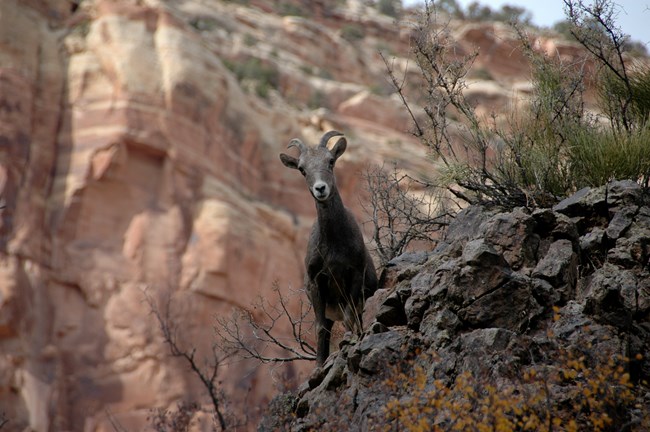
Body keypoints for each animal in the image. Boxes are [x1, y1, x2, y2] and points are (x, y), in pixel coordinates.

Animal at [278, 131, 374, 364]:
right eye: (302, 169)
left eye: (331, 161)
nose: (320, 188)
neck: (333, 245)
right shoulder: (317, 282)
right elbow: (321, 329)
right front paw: (319, 366)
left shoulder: (354, 275)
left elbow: (349, 318)